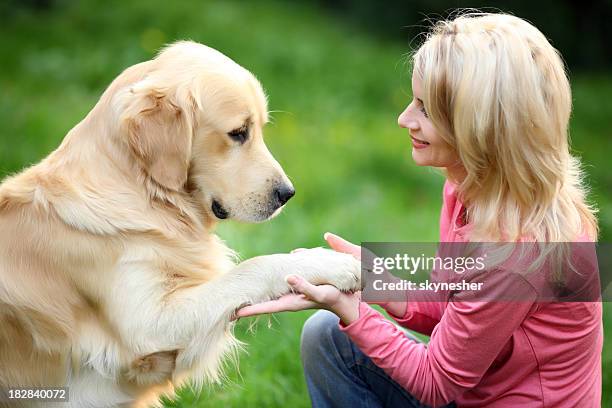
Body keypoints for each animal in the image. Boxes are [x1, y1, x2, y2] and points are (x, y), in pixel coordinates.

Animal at [0, 42, 360, 408]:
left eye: (259, 129)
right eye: (238, 133)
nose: (287, 194)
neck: (146, 196)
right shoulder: (147, 325)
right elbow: (254, 267)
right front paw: (334, 263)